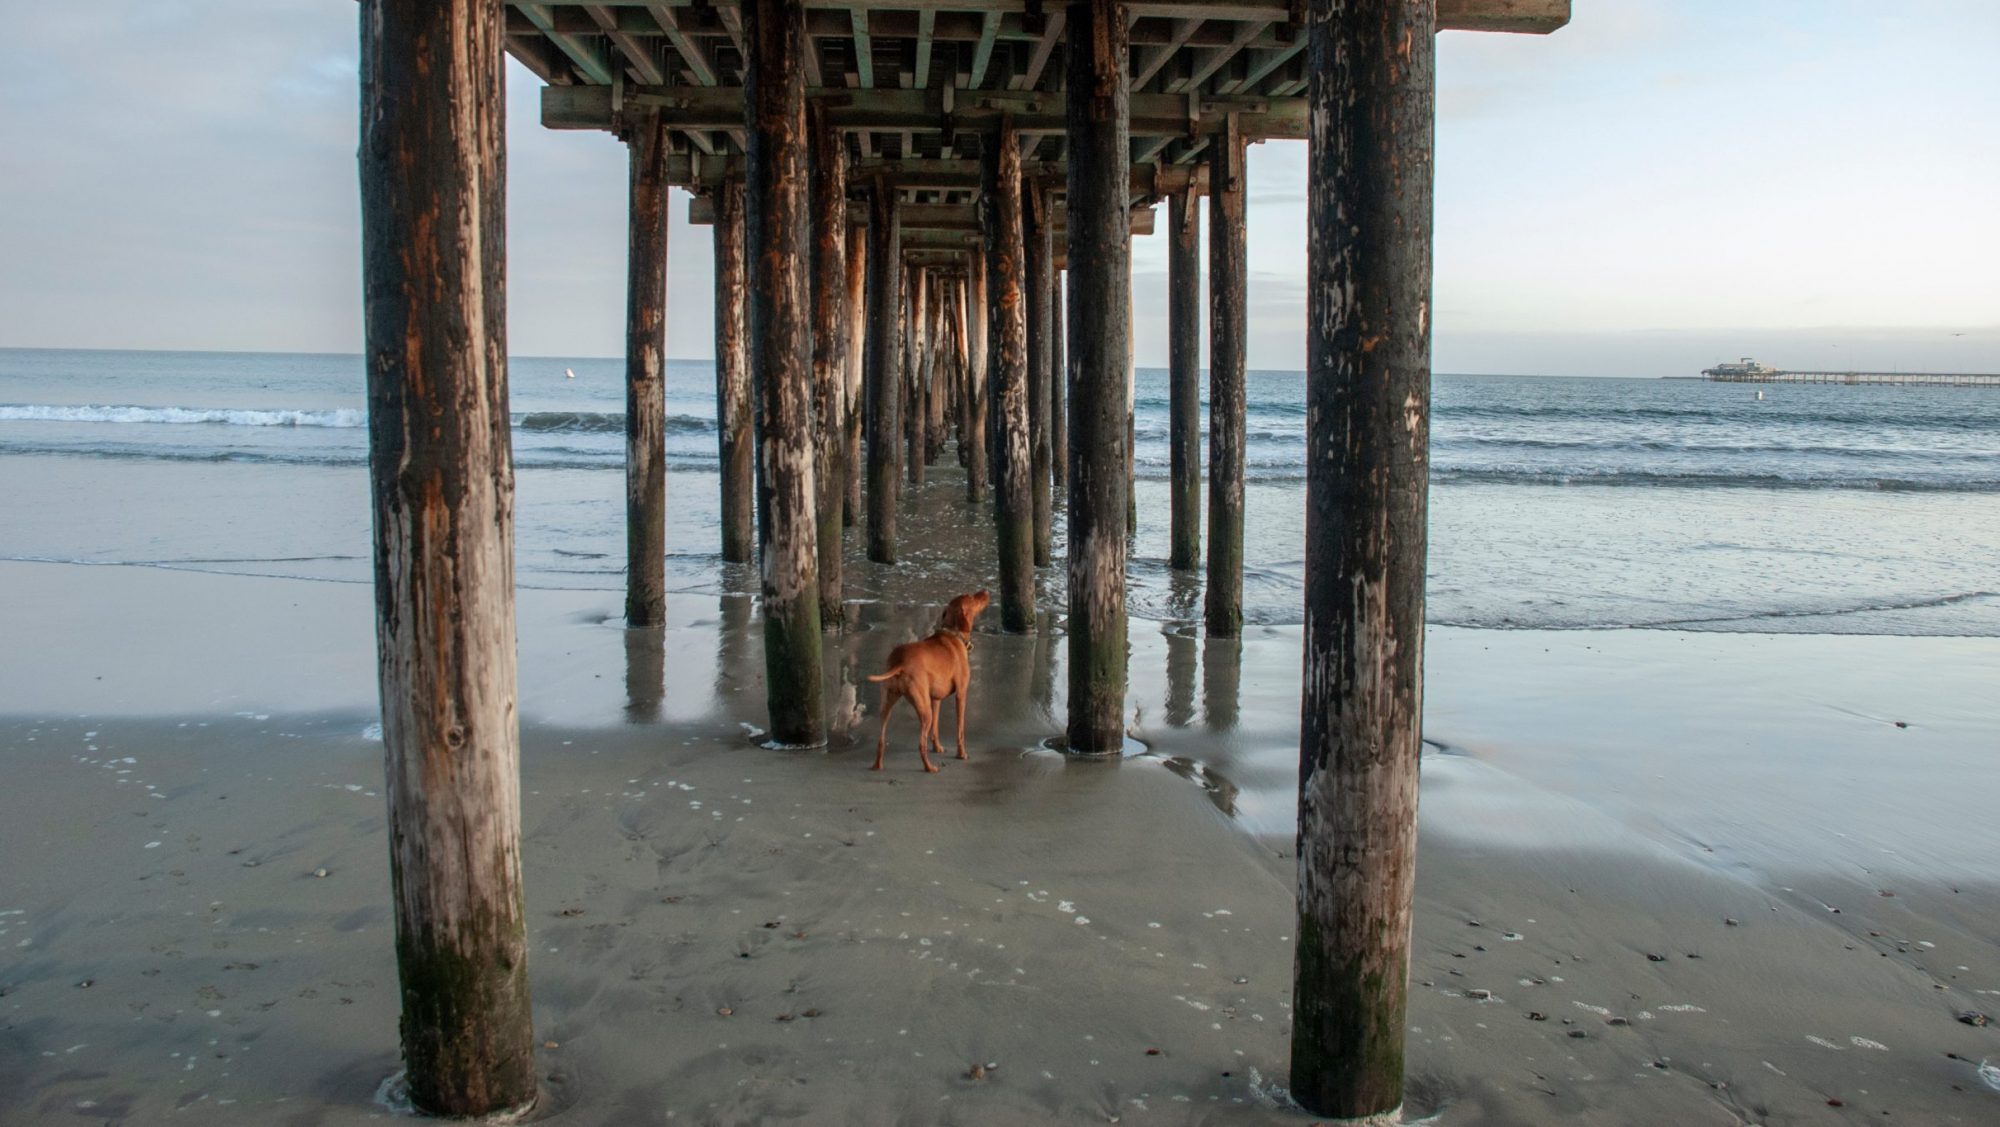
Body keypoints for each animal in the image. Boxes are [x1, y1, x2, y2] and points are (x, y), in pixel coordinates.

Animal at [864, 595, 988, 771]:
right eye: (973, 597)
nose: (985, 591)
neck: (954, 633)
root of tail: (900, 662)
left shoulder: (935, 699)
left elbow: (935, 729)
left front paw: (937, 748)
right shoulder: (961, 694)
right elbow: (960, 730)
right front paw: (961, 754)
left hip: (887, 706)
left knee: (881, 740)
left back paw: (877, 765)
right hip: (924, 710)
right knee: (920, 744)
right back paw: (929, 768)